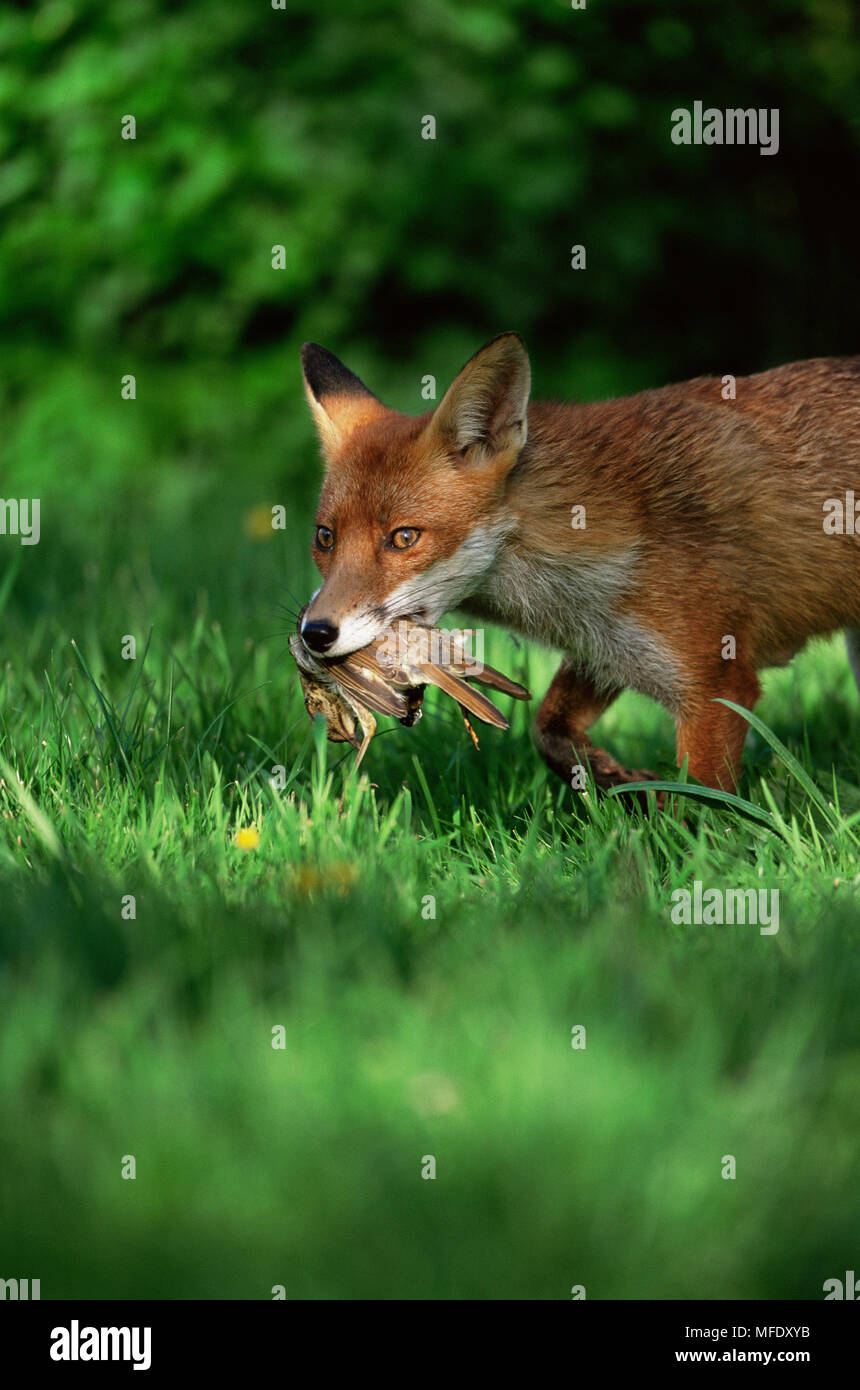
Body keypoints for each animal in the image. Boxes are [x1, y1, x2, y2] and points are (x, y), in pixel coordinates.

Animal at [300, 329, 860, 800]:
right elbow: (546, 729)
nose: (314, 633)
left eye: (403, 537)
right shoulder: (608, 649)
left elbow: (704, 804)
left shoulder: (717, 684)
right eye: (325, 538)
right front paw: (613, 778)